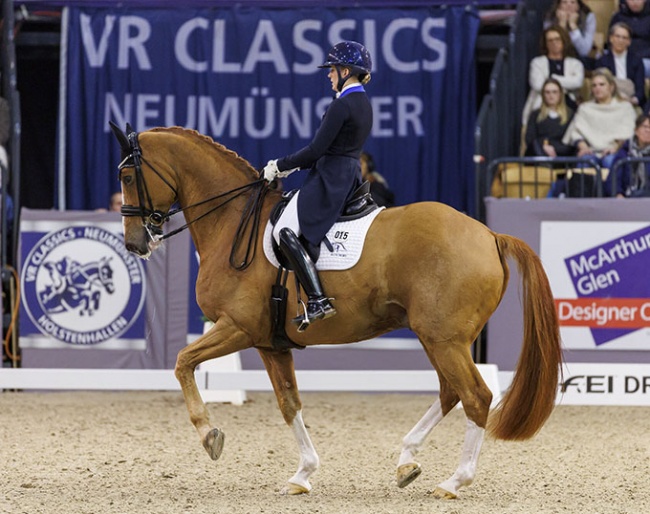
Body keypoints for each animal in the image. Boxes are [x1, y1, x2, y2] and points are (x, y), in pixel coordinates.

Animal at [109, 123, 560, 496]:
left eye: (128, 177)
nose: (135, 243)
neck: (234, 220)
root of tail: (490, 234)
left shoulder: (237, 327)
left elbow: (183, 362)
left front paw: (209, 436)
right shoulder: (271, 344)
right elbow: (289, 403)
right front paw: (303, 474)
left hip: (444, 339)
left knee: (476, 397)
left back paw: (453, 481)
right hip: (439, 338)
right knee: (452, 392)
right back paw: (407, 461)